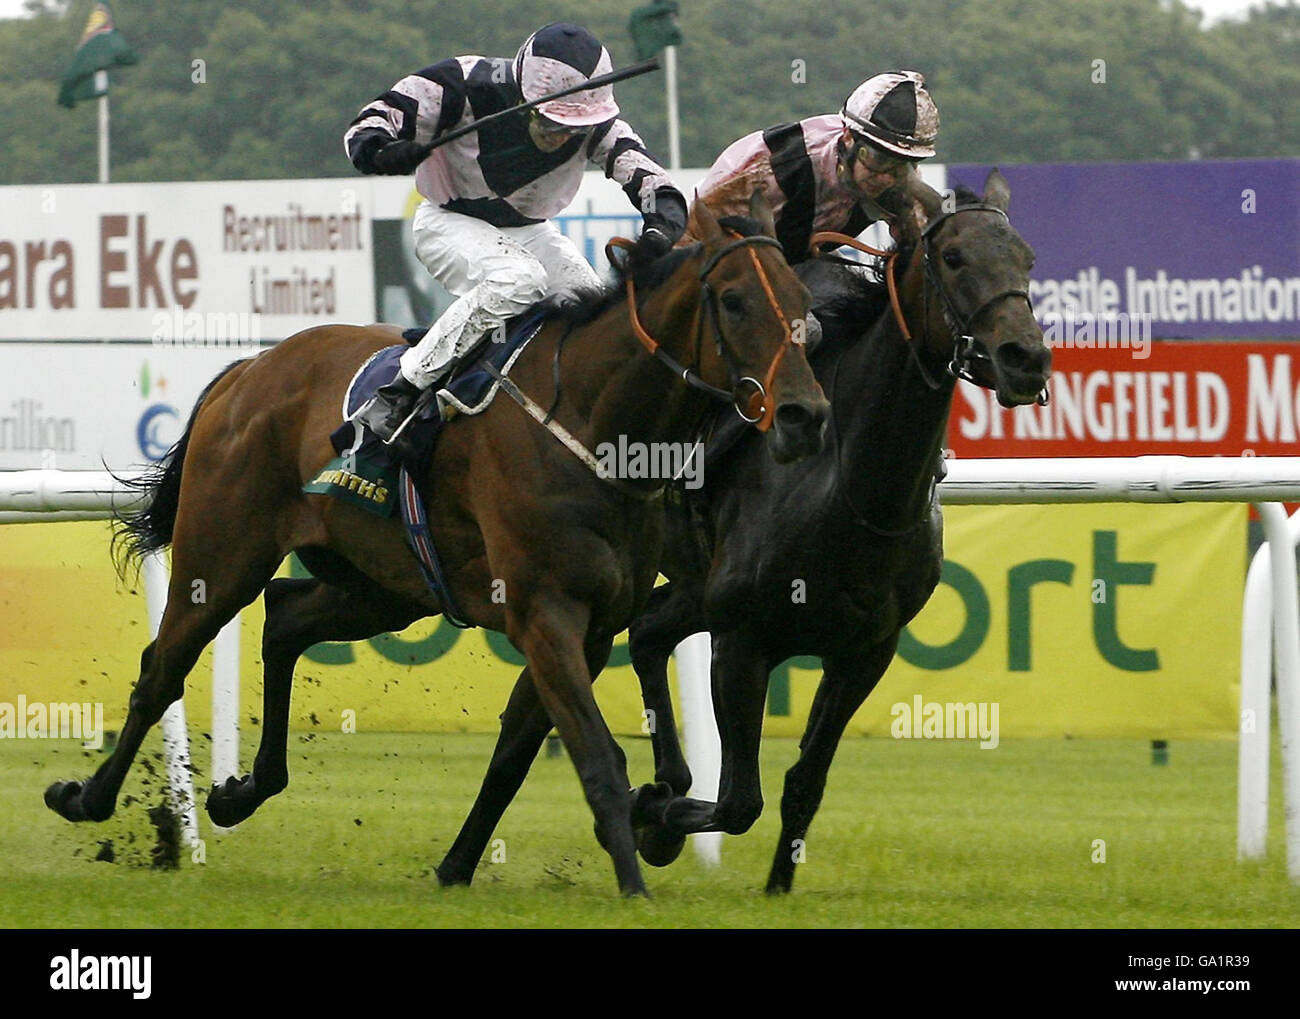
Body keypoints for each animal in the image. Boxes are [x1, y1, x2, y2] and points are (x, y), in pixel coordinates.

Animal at [48, 194, 832, 894]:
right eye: (734, 300)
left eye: (805, 303)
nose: (806, 416)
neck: (591, 420)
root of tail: (247, 372)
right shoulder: (545, 611)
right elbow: (597, 758)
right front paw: (635, 885)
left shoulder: (589, 627)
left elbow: (516, 754)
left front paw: (457, 867)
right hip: (222, 555)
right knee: (162, 667)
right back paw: (87, 797)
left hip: (386, 585)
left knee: (286, 616)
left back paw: (242, 790)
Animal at [621, 168, 1055, 894]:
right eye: (953, 257)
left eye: (1026, 259)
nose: (1026, 357)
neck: (849, 488)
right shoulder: (742, 640)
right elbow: (739, 801)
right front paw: (651, 821)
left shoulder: (865, 650)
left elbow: (804, 784)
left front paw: (777, 885)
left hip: (697, 589)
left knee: (648, 630)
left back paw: (669, 775)